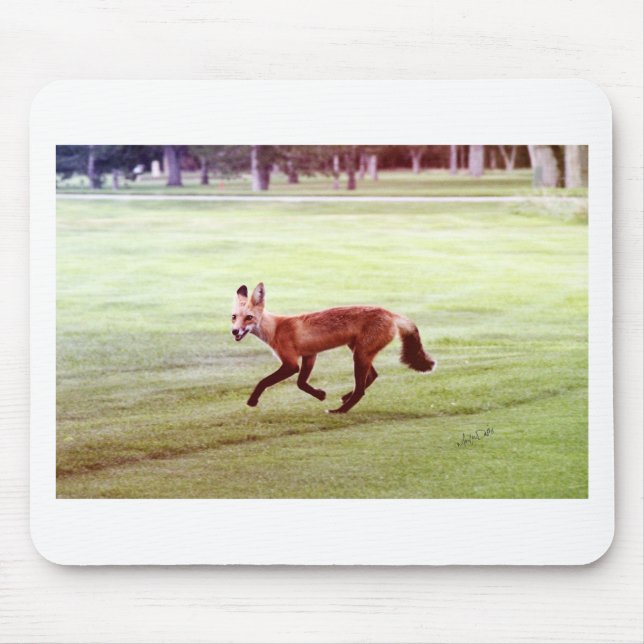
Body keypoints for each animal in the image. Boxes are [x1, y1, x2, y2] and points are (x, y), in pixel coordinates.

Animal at [231, 282, 436, 414]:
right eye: (234, 317)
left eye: (249, 317)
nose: (234, 331)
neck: (276, 328)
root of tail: (390, 313)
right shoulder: (310, 355)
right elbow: (301, 383)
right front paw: (320, 394)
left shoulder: (290, 363)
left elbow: (264, 382)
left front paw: (252, 401)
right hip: (359, 351)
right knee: (372, 376)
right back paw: (345, 398)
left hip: (359, 355)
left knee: (361, 390)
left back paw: (340, 410)